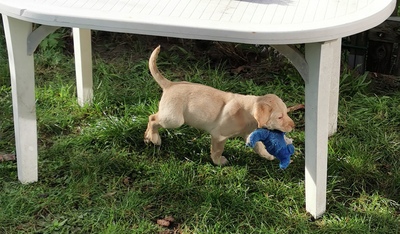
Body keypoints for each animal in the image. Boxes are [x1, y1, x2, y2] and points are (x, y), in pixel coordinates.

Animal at [144, 45, 294, 165]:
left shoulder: (248, 134)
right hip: (174, 119)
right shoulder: (219, 135)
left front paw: (268, 155)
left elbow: (258, 146)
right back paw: (154, 138)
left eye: (286, 113)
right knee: (152, 118)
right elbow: (217, 150)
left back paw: (147, 137)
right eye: (279, 117)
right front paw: (219, 162)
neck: (247, 112)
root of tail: (170, 85)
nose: (294, 126)